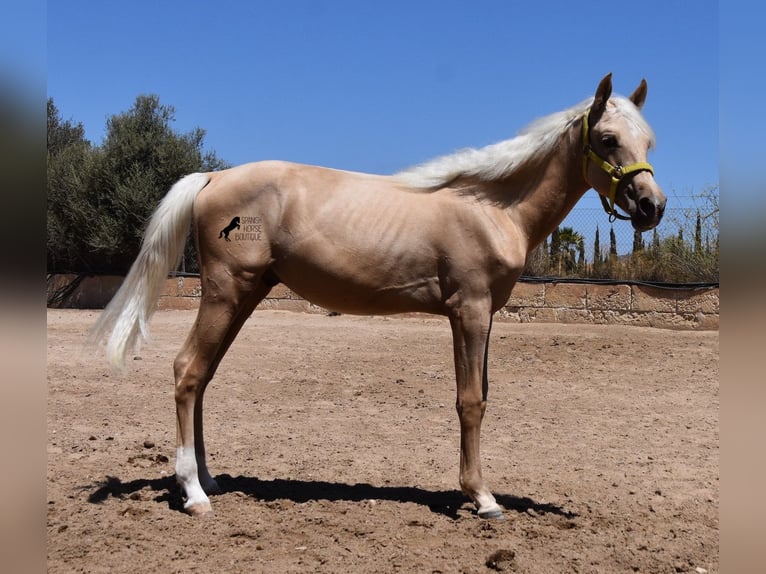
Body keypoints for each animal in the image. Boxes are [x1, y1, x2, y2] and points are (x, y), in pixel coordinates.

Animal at [88, 74, 664, 520]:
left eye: (649, 142)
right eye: (607, 139)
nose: (651, 206)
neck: (491, 207)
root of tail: (212, 178)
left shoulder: (484, 315)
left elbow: (481, 394)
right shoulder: (470, 310)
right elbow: (470, 401)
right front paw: (482, 498)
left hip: (243, 298)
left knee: (202, 376)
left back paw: (208, 479)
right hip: (226, 293)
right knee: (187, 371)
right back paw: (193, 494)